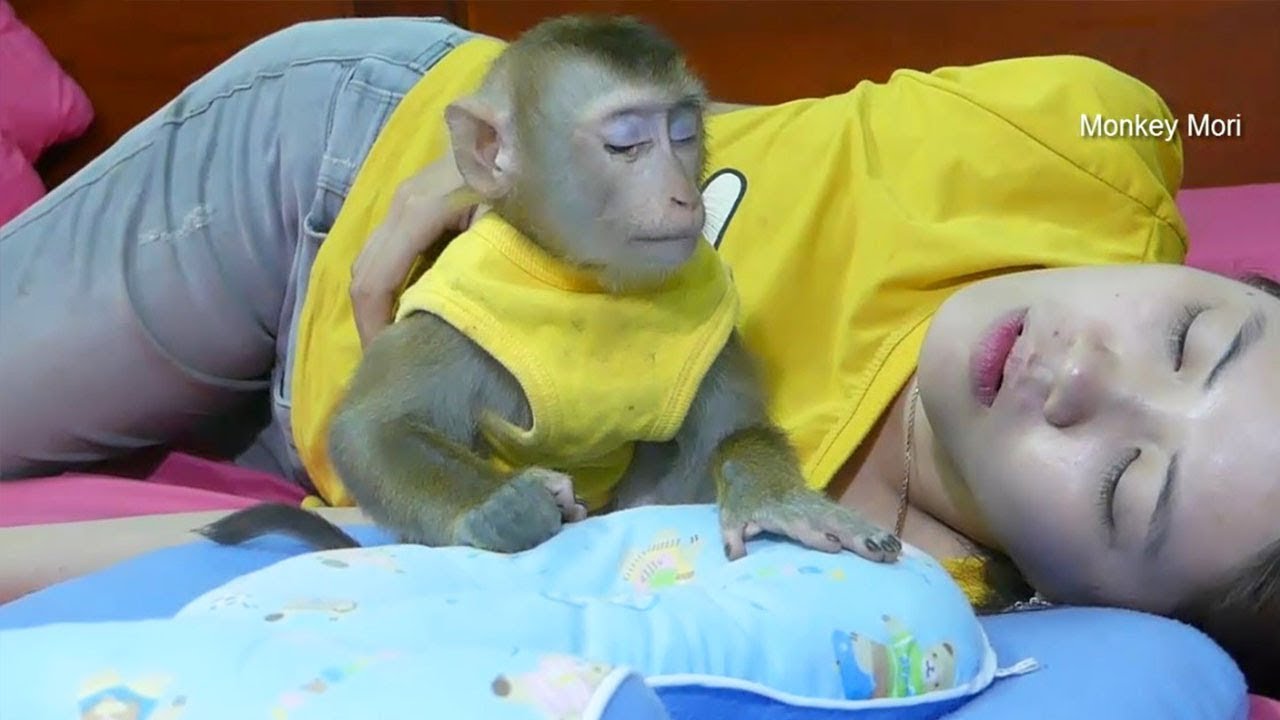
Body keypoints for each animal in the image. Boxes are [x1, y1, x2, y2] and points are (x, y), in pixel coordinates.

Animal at [199, 15, 902, 565]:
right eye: (625, 145)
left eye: (684, 134)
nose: (683, 195)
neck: (587, 283)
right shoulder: (450, 324)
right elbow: (370, 428)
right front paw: (501, 507)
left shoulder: (712, 333)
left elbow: (730, 434)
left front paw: (773, 498)